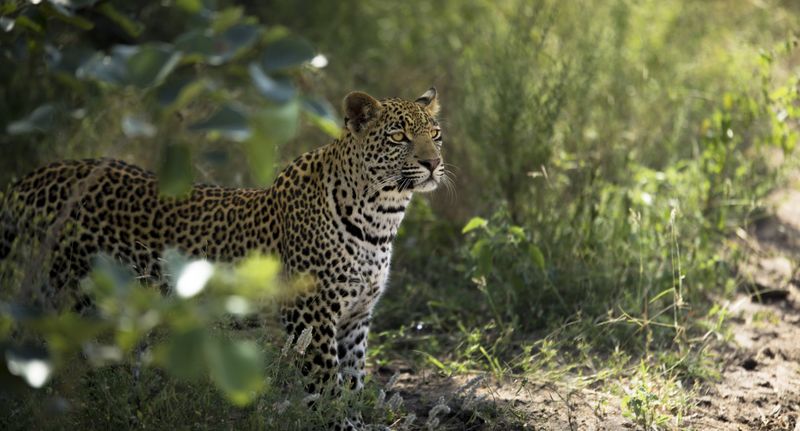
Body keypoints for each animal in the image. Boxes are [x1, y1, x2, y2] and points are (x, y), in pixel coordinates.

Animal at [0, 88, 445, 428]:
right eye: (399, 136)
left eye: (436, 135)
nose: (433, 163)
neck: (381, 217)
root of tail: (30, 179)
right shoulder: (311, 316)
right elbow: (327, 387)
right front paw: (337, 424)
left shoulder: (355, 318)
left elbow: (352, 383)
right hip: (70, 301)